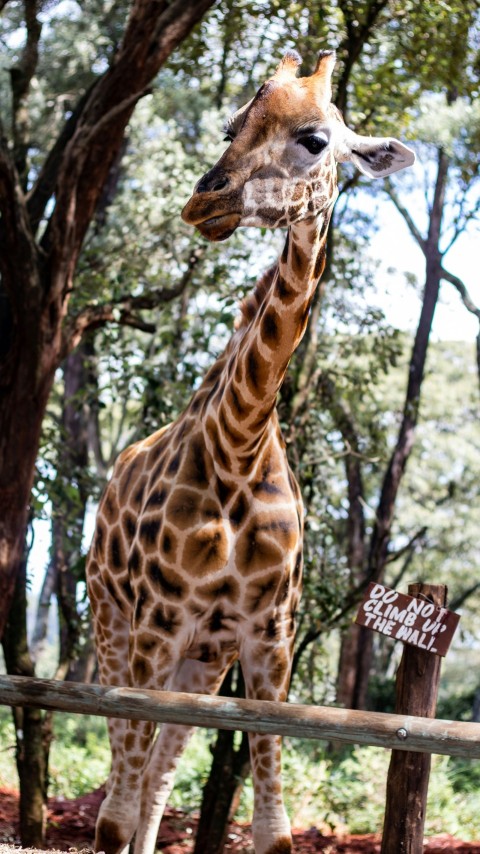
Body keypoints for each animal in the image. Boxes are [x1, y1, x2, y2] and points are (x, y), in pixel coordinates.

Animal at [87, 49, 414, 854]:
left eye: (315, 139)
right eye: (232, 124)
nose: (204, 202)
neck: (239, 441)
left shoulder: (268, 640)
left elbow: (273, 830)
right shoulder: (154, 625)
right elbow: (112, 817)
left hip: (205, 658)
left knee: (156, 778)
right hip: (114, 627)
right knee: (125, 772)